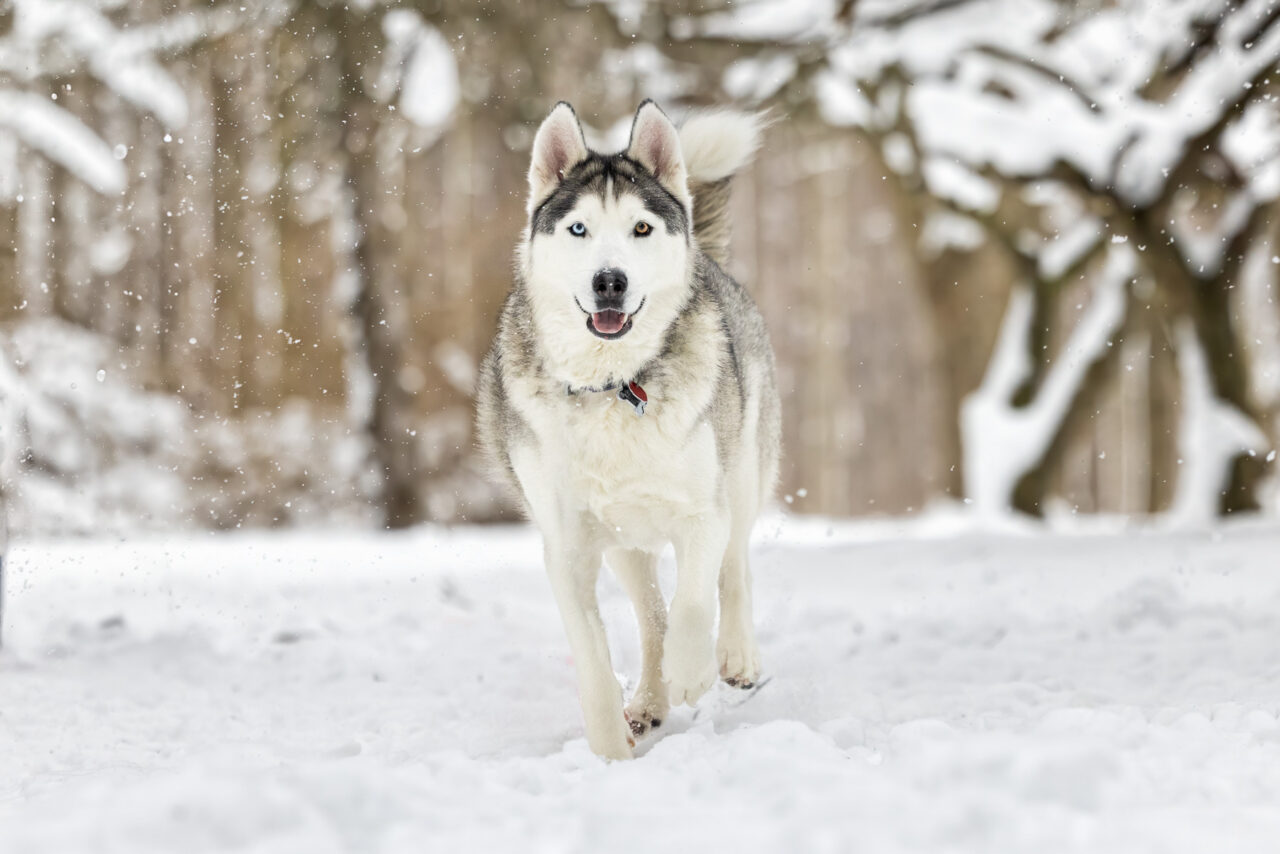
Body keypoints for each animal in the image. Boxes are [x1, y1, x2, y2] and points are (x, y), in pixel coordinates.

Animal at [478, 100, 778, 763]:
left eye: (641, 228)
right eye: (579, 230)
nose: (609, 281)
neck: (614, 387)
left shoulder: (703, 512)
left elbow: (695, 599)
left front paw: (692, 671)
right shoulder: (567, 547)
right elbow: (594, 658)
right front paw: (610, 754)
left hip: (744, 471)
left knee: (734, 569)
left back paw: (733, 656)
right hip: (621, 543)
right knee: (650, 612)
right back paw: (649, 700)